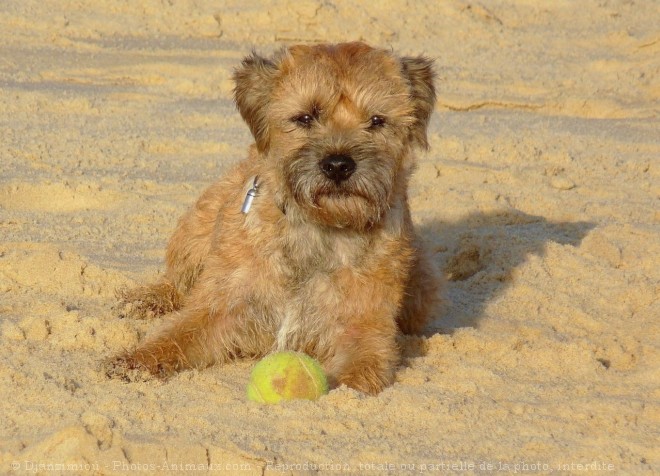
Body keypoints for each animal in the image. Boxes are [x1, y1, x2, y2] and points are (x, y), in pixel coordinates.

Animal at [105, 41, 440, 394]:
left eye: (377, 120)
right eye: (304, 117)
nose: (338, 165)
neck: (318, 228)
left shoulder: (365, 330)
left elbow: (357, 374)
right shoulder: (223, 305)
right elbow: (177, 334)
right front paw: (135, 362)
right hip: (197, 227)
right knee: (181, 283)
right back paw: (144, 300)